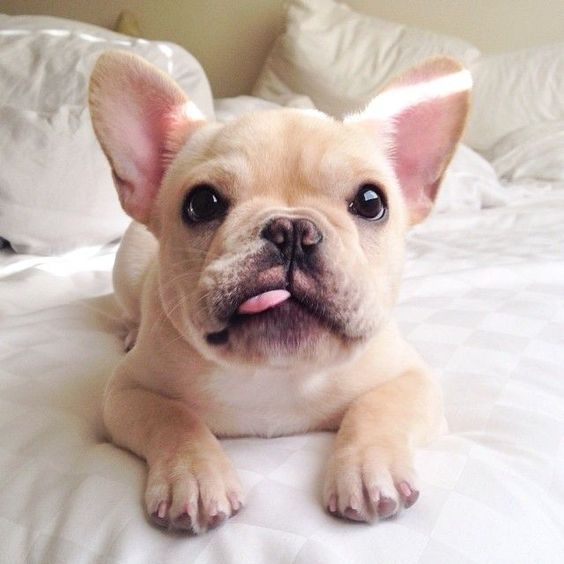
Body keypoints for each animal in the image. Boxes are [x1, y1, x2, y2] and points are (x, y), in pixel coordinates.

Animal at [89, 51, 472, 532]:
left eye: (371, 202)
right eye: (202, 203)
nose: (291, 229)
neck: (278, 373)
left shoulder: (412, 379)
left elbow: (378, 408)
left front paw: (369, 469)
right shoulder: (126, 392)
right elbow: (173, 418)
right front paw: (193, 478)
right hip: (126, 267)